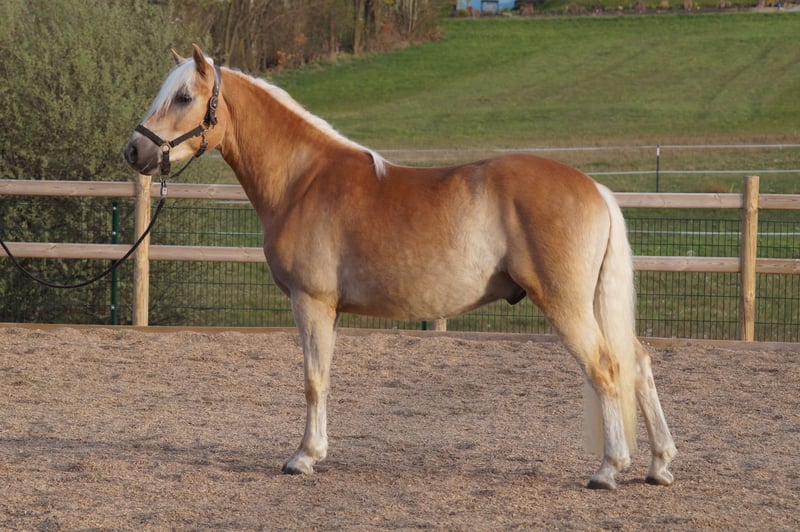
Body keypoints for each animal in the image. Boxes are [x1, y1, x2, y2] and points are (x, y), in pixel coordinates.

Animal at [124, 45, 676, 490]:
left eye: (183, 98)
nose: (135, 150)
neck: (303, 179)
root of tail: (595, 188)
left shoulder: (311, 302)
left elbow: (312, 380)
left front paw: (303, 457)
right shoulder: (329, 310)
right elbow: (323, 376)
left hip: (566, 305)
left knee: (606, 368)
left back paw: (608, 469)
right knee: (638, 363)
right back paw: (659, 464)